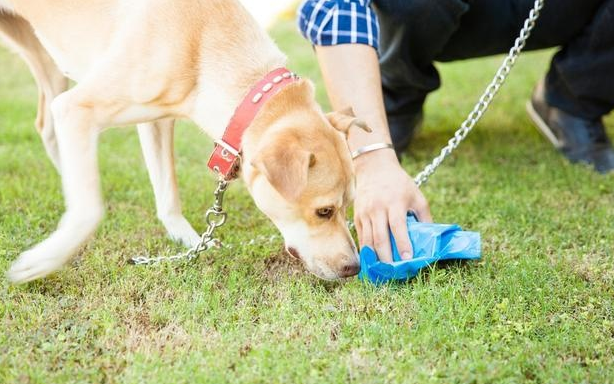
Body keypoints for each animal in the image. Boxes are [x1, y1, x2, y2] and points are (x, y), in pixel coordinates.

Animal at [0, 0, 368, 282]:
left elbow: (167, 192)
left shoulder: (156, 120)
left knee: (47, 124)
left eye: (348, 204)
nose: (354, 267)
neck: (203, 41)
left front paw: (189, 241)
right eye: (324, 211)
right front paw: (45, 259)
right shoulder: (78, 109)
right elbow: (90, 210)